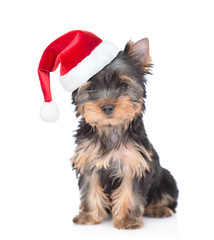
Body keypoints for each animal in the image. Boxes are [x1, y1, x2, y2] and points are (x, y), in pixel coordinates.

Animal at [71, 37, 178, 229]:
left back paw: (159, 209)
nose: (107, 107)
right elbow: (90, 190)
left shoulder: (133, 163)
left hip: (165, 178)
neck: (111, 129)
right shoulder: (89, 162)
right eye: (91, 89)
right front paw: (89, 217)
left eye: (123, 85)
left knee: (165, 195)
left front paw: (128, 220)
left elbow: (130, 192)